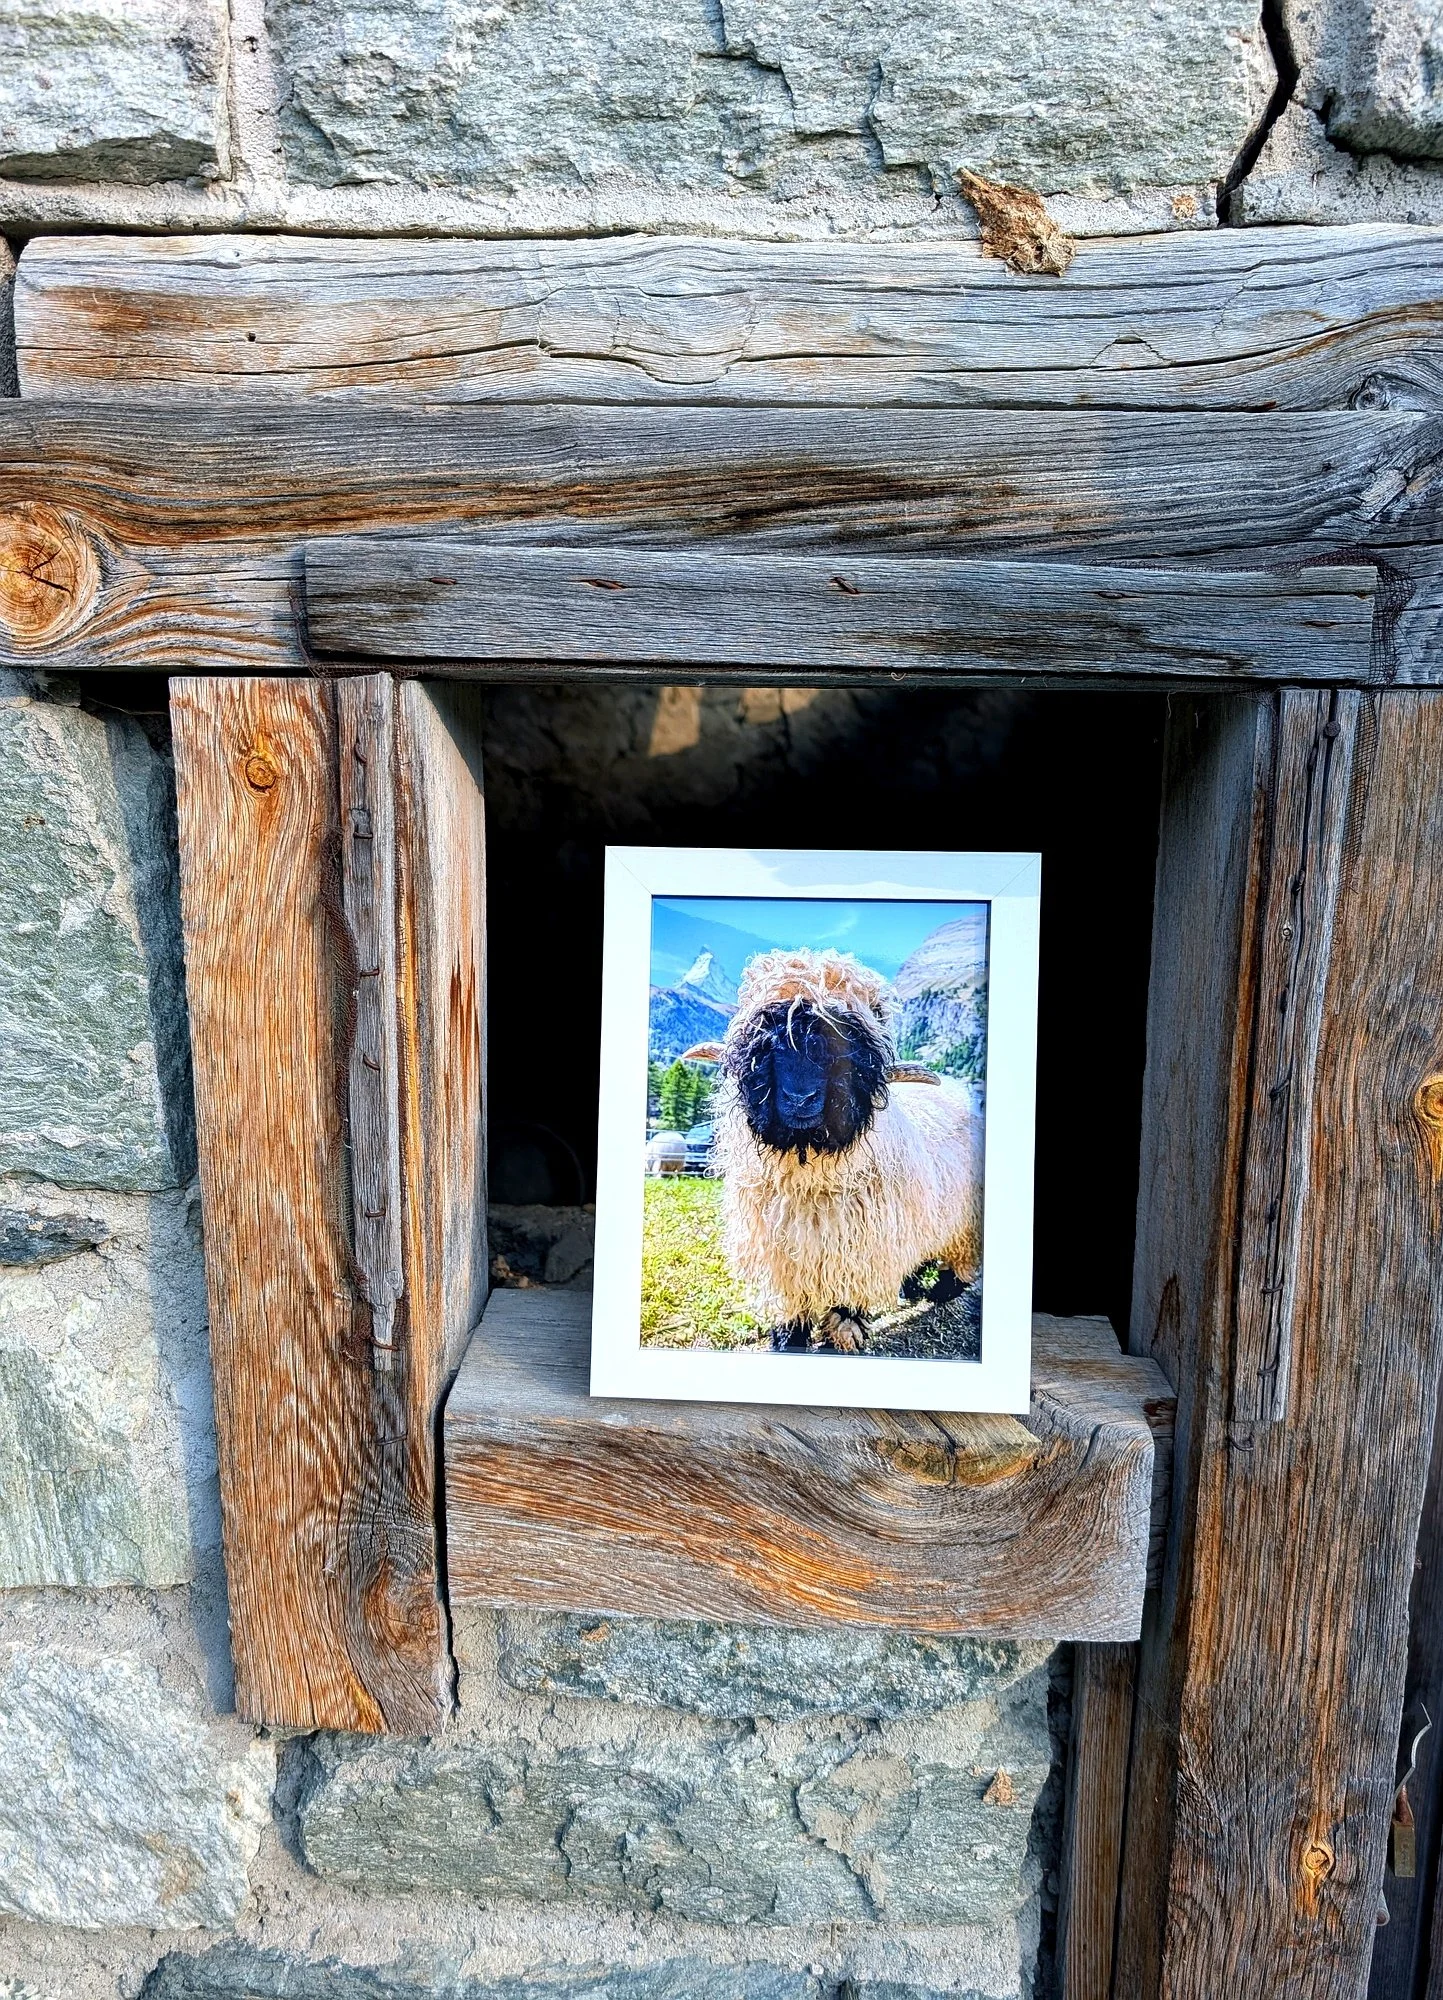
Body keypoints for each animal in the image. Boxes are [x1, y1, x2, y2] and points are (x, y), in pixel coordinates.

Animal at [684, 947, 982, 1353]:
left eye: (849, 1041)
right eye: (765, 1043)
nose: (800, 1097)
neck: (810, 1178)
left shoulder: (860, 1255)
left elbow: (844, 1314)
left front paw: (840, 1340)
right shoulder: (783, 1261)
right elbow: (791, 1313)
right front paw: (787, 1342)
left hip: (963, 1227)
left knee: (960, 1268)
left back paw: (938, 1293)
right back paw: (911, 1288)